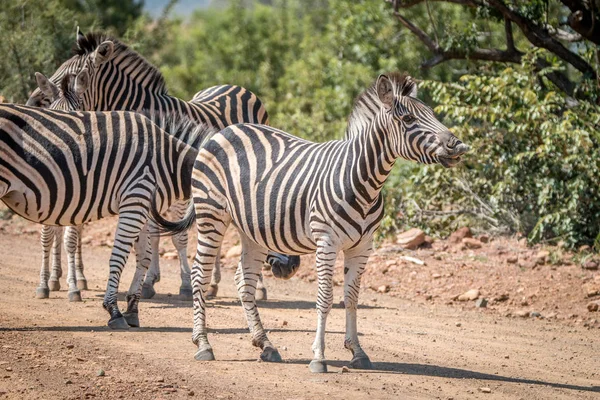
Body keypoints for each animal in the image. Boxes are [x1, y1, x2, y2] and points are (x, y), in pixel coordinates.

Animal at [0, 102, 214, 328]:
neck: (166, 161)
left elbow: (144, 257)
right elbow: (118, 257)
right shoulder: (135, 197)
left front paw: (132, 309)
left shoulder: (141, 205)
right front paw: (114, 310)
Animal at [27, 28, 300, 300]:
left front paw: (182, 284)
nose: (32, 102)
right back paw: (214, 284)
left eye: (71, 75)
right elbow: (150, 235)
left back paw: (256, 287)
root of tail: (236, 86)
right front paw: (148, 282)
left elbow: (174, 237)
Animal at [152, 72, 472, 372]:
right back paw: (203, 343)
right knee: (200, 275)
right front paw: (319, 357)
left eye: (432, 113)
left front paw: (357, 352)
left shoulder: (362, 247)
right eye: (407, 119)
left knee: (245, 281)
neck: (363, 179)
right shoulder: (326, 242)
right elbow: (325, 297)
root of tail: (224, 131)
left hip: (251, 229)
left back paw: (265, 344)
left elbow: (351, 297)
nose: (459, 146)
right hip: (211, 214)